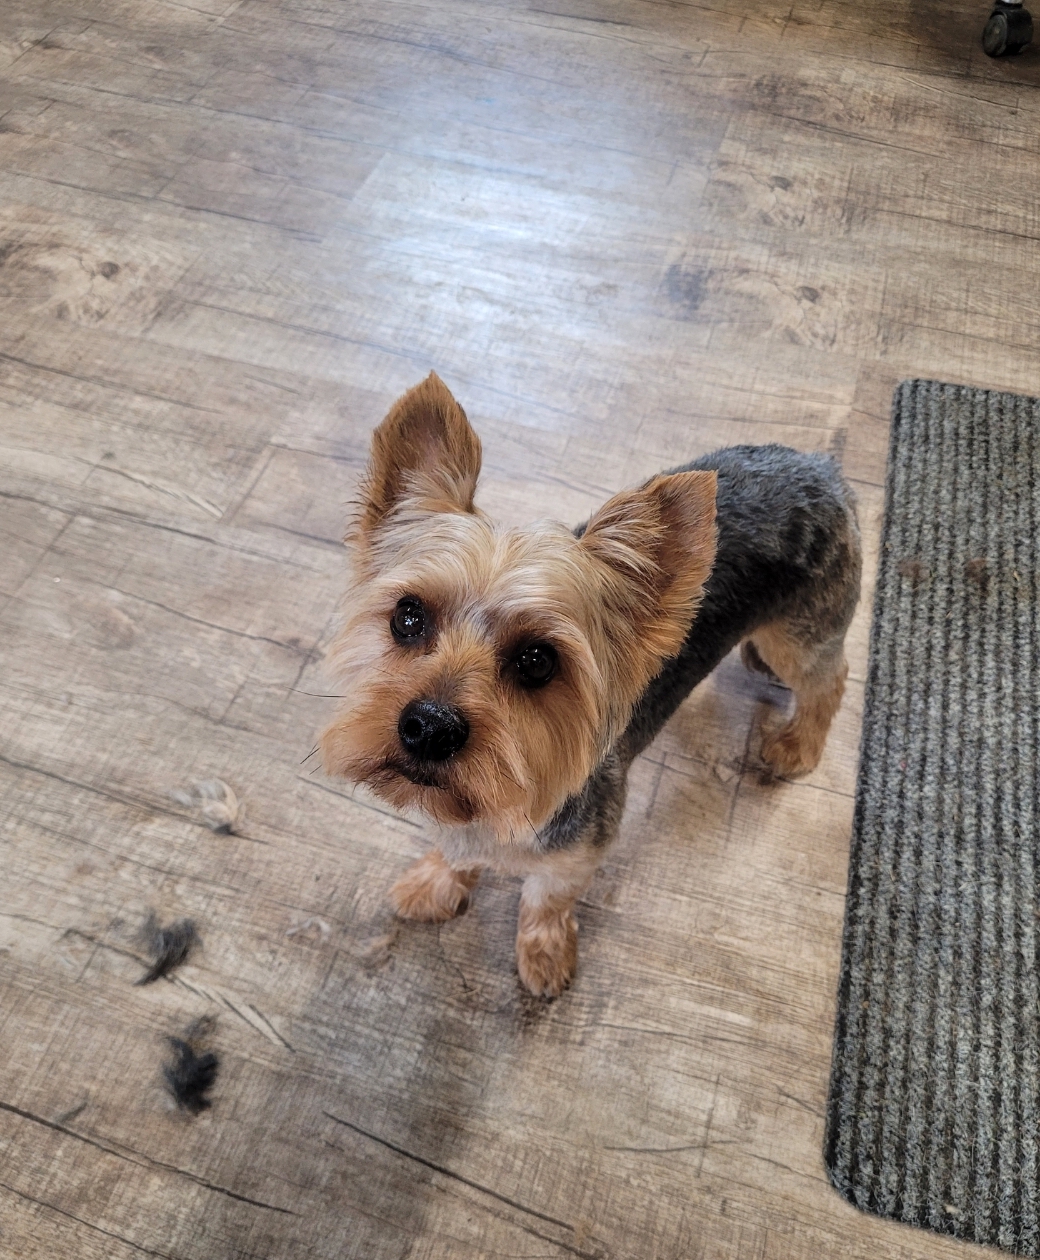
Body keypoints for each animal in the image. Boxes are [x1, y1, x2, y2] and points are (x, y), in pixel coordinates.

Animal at [320, 374, 861, 996]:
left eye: (537, 661)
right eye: (407, 617)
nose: (429, 727)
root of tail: (821, 466)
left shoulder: (581, 846)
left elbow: (546, 897)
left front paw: (544, 953)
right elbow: (455, 852)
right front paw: (436, 883)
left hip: (800, 633)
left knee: (829, 678)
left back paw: (796, 745)